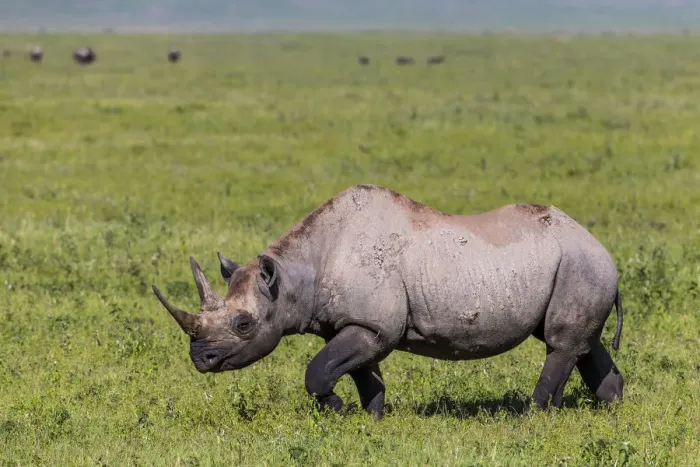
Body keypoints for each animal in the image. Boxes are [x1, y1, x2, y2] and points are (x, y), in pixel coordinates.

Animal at [153, 184, 624, 418]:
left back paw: (533, 418)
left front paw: (338, 412)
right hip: (577, 266)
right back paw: (609, 410)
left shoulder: (375, 324)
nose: (201, 359)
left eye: (244, 325)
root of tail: (601, 246)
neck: (293, 275)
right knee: (582, 344)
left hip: (580, 263)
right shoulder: (356, 323)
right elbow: (362, 373)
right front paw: (372, 419)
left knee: (560, 343)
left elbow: (317, 371)